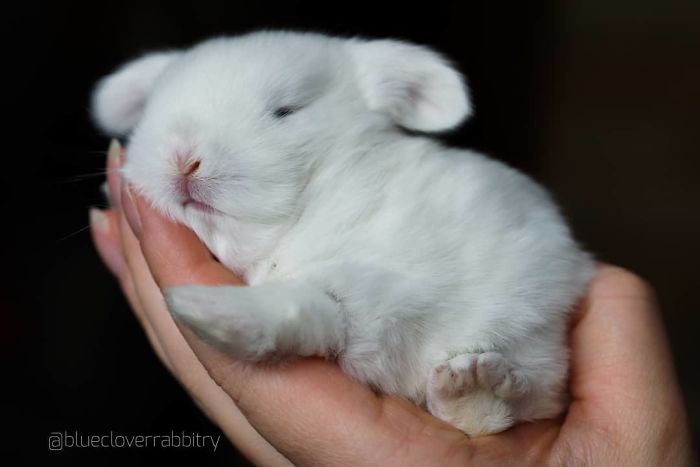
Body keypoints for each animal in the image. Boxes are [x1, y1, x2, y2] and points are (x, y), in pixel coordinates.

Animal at [92, 30, 595, 436]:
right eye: (154, 112)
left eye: (285, 111)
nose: (184, 159)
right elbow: (310, 314)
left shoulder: (367, 287)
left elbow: (301, 309)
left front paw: (201, 309)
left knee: (514, 404)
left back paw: (472, 383)